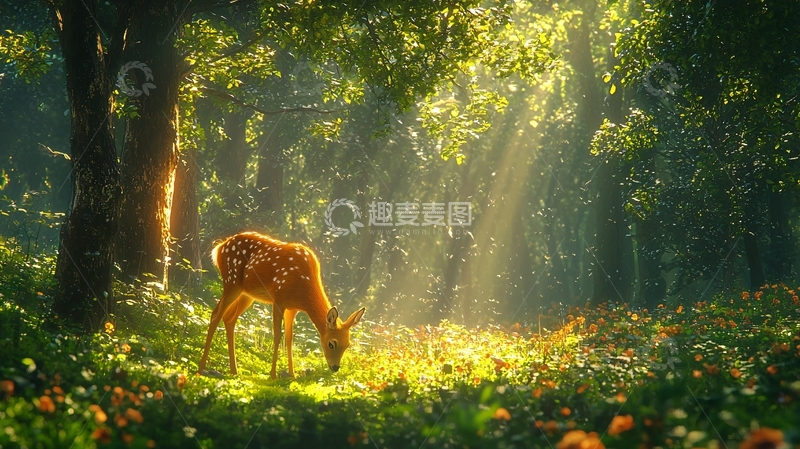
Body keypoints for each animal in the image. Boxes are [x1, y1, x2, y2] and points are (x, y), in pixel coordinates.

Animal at [197, 231, 366, 379]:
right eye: (331, 344)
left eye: (347, 345)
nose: (335, 368)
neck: (303, 289)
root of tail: (219, 247)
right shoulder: (278, 299)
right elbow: (277, 335)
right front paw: (273, 375)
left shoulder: (292, 308)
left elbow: (289, 338)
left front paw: (292, 374)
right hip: (231, 281)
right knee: (216, 314)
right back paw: (201, 368)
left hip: (247, 294)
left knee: (229, 318)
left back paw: (234, 371)